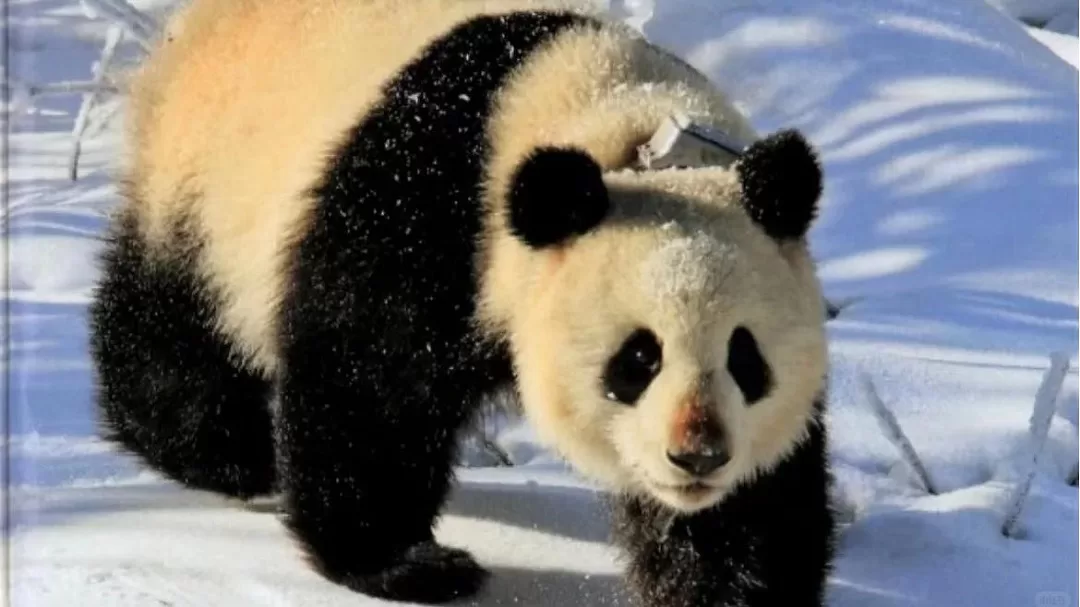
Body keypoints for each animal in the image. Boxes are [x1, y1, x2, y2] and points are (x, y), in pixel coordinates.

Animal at [88, 0, 836, 605]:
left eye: (746, 358)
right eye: (638, 358)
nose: (698, 456)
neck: (628, 132)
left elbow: (760, 499)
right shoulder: (425, 212)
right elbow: (369, 388)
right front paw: (409, 565)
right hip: (210, 177)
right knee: (173, 328)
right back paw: (224, 452)